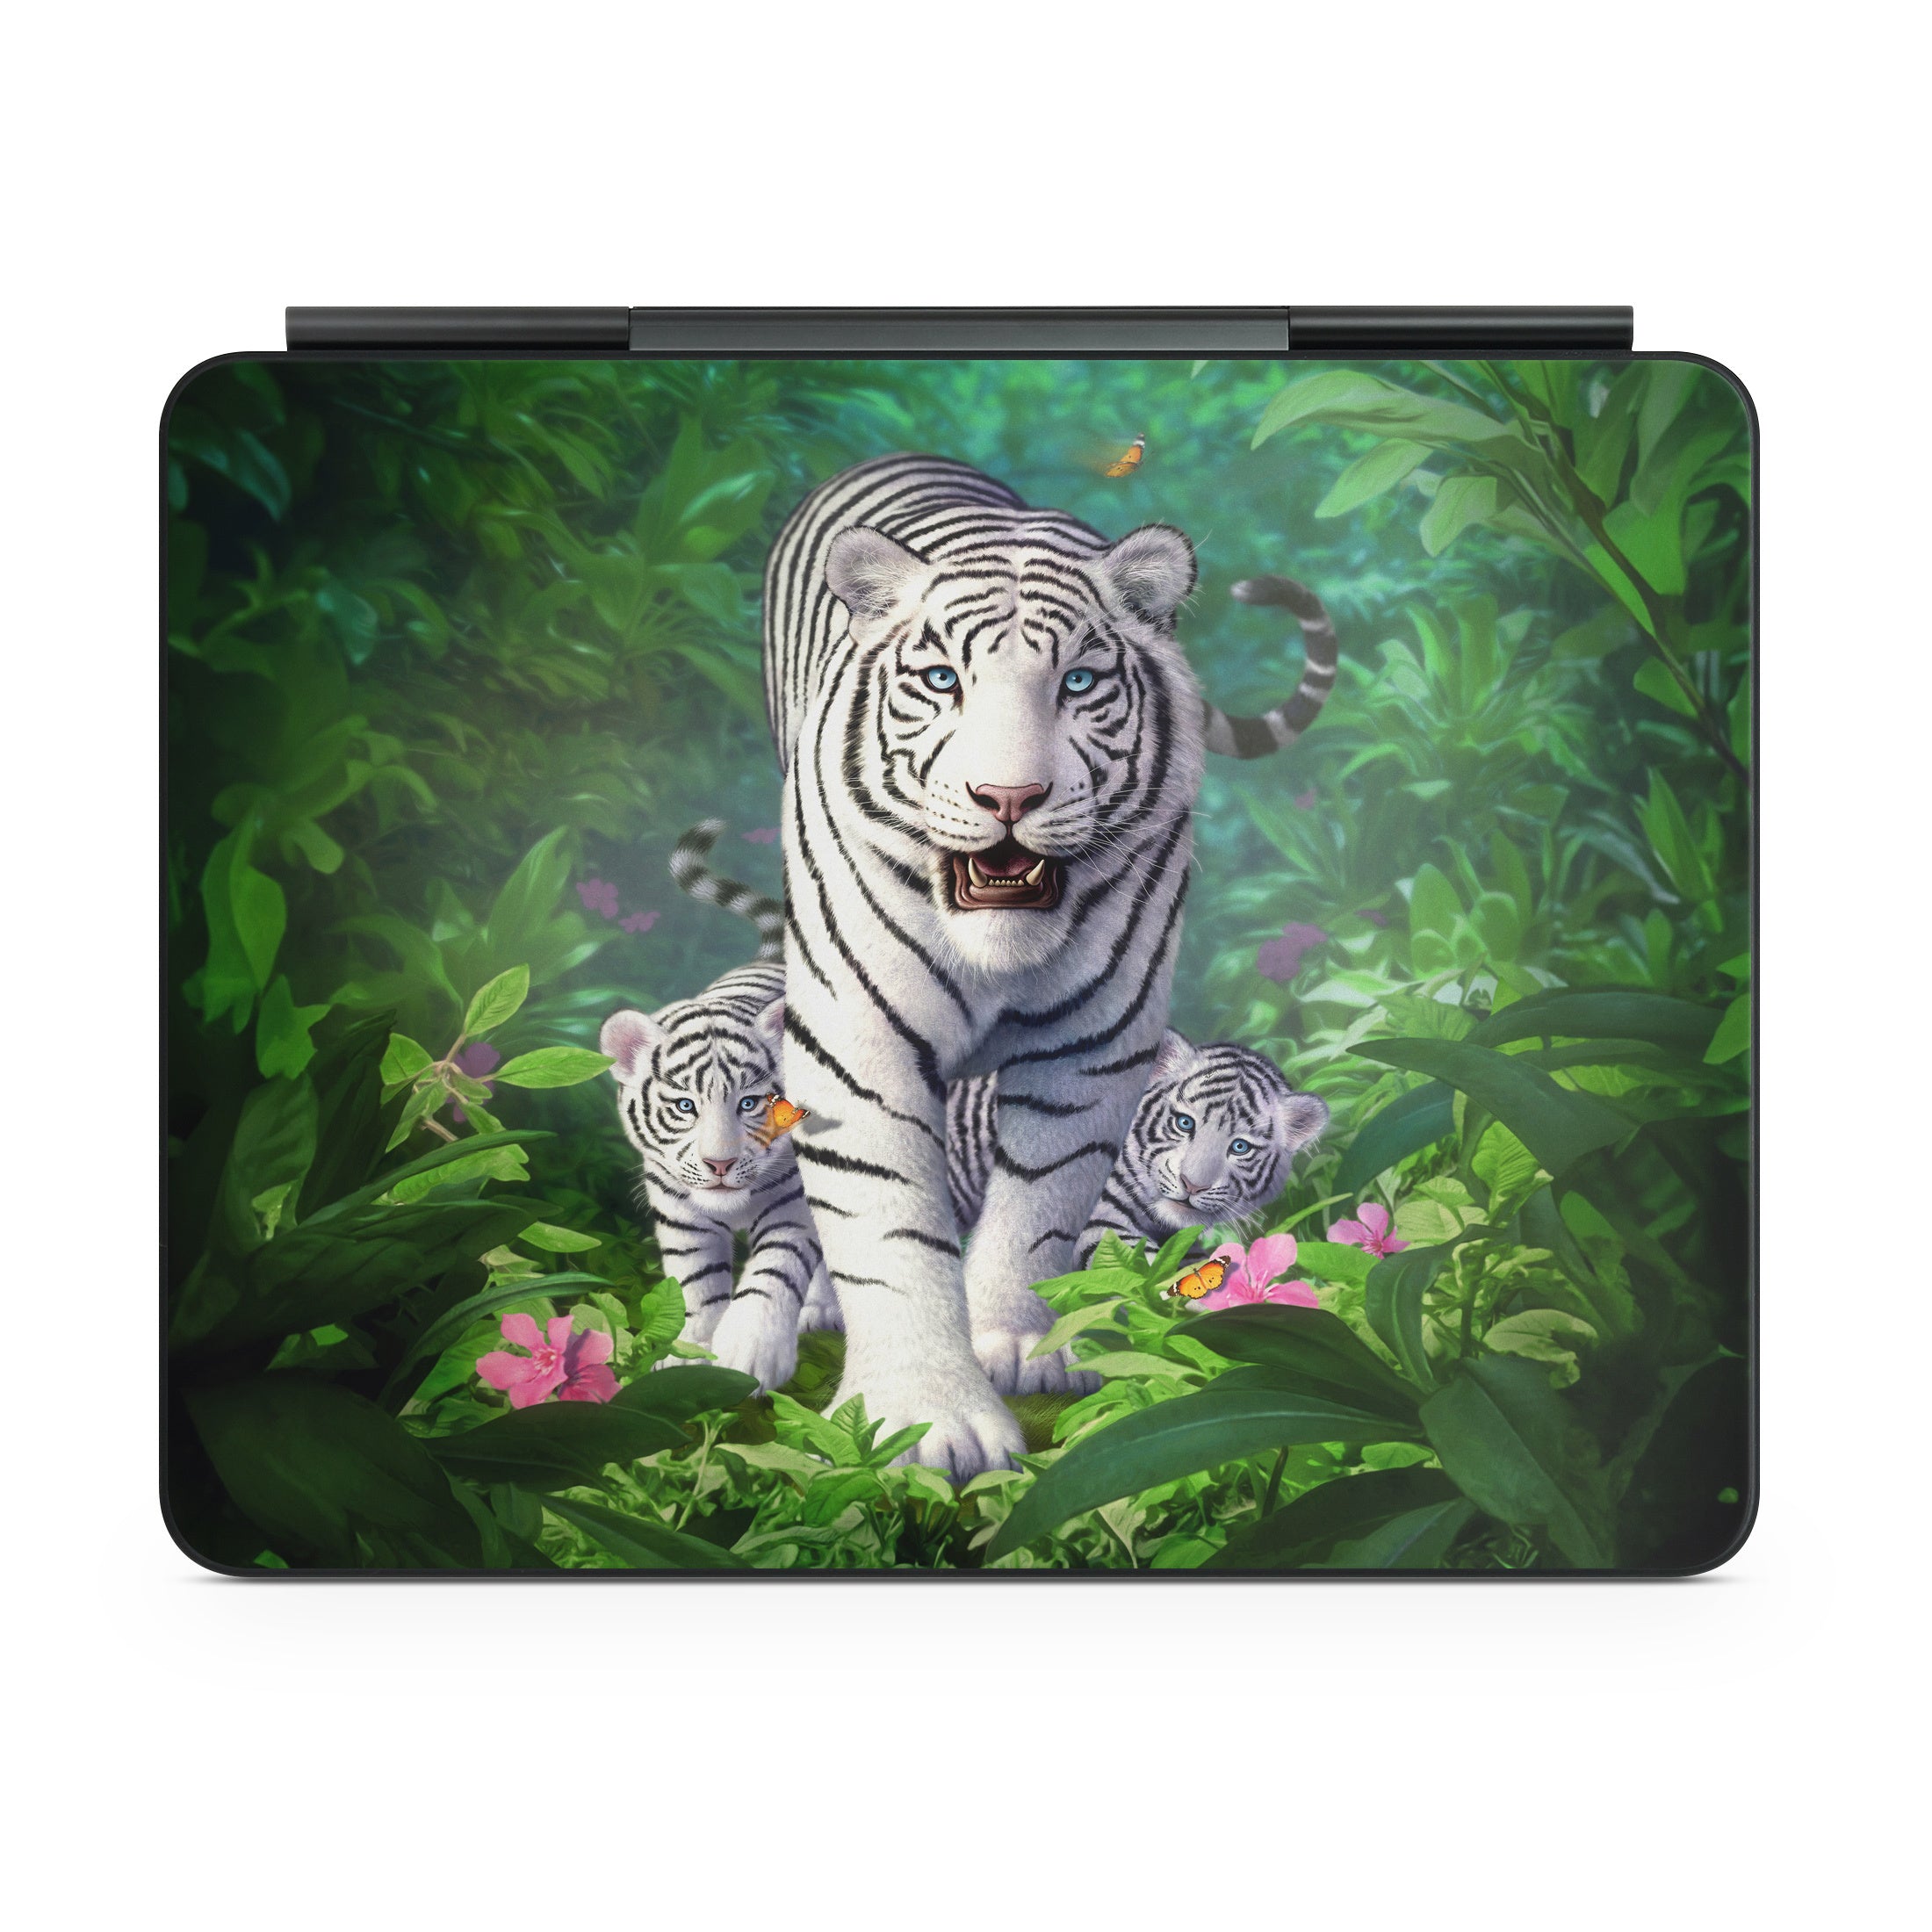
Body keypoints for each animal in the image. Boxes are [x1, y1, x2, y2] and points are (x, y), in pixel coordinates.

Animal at [599, 961, 829, 1393]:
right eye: (686, 1106)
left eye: (750, 1104)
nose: (719, 1164)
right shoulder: (683, 1219)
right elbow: (698, 1284)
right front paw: (690, 1359)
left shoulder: (792, 1208)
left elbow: (773, 1271)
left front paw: (750, 1354)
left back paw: (820, 1309)